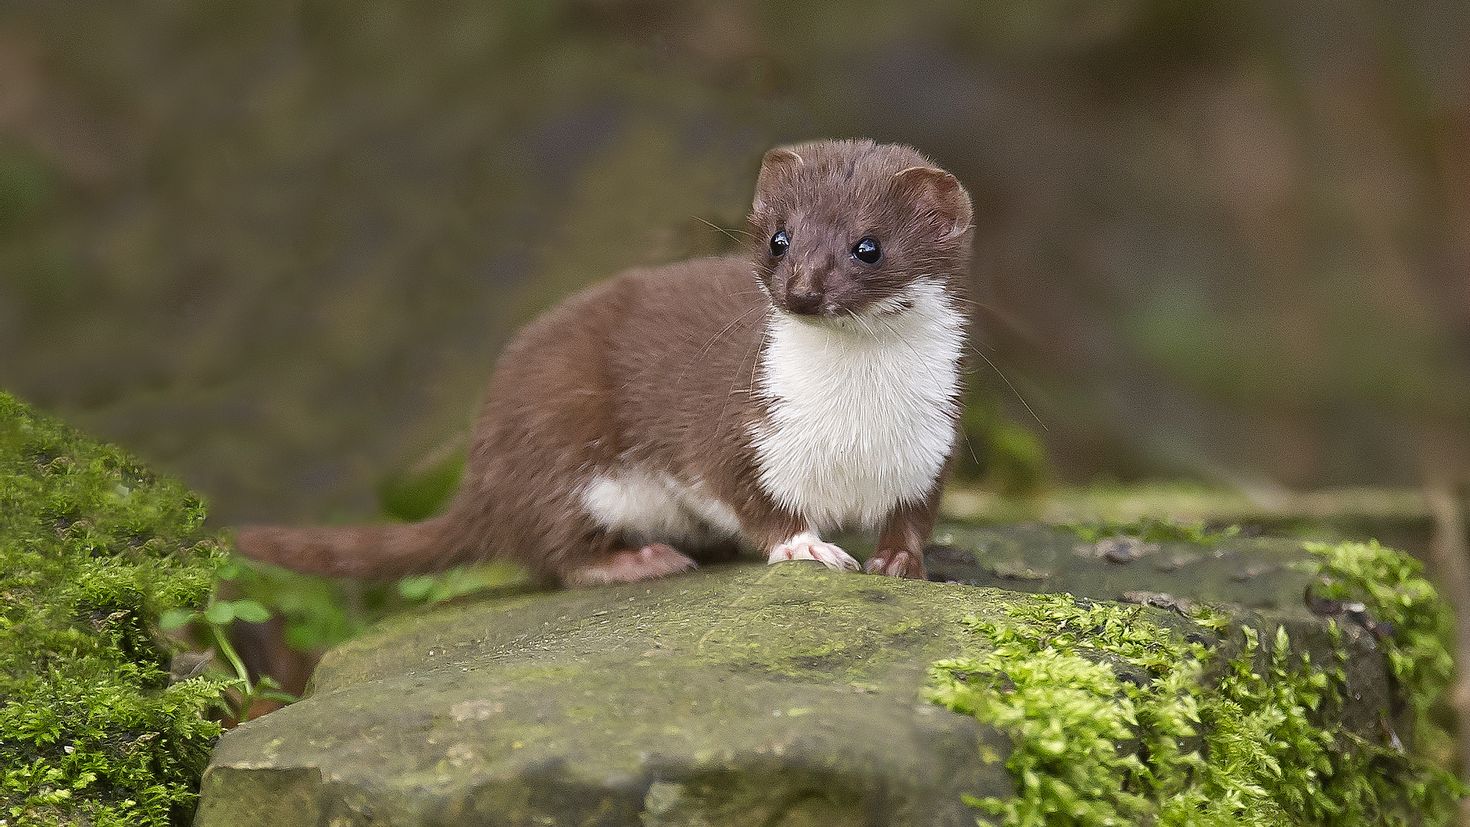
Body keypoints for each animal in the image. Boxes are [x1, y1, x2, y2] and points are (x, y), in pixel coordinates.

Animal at [238, 138, 976, 584]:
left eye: (868, 246)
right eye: (779, 237)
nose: (800, 289)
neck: (856, 420)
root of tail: (484, 475)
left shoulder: (933, 441)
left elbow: (915, 515)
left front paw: (899, 561)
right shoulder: (741, 430)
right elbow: (752, 501)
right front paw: (809, 546)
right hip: (564, 444)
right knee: (554, 550)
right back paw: (640, 559)